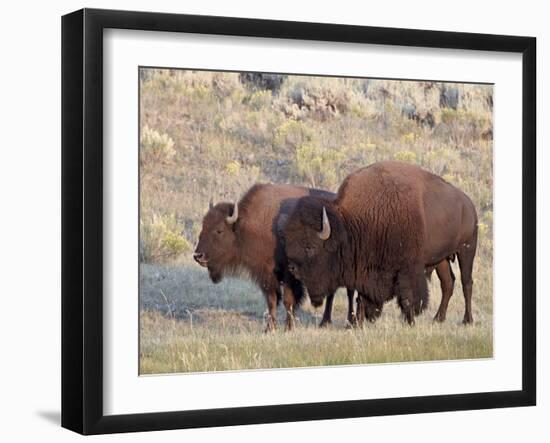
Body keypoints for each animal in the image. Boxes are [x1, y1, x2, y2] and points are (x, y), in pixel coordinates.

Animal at [194, 182, 358, 332]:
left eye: (219, 230)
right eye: (203, 226)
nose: (198, 256)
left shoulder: (289, 273)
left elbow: (288, 300)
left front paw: (288, 328)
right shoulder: (266, 274)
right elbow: (272, 300)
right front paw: (269, 328)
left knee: (348, 292)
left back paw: (345, 323)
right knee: (332, 293)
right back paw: (326, 323)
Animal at [280, 162, 478, 326]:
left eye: (310, 246)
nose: (292, 268)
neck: (354, 224)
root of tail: (468, 203)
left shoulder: (408, 269)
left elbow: (408, 297)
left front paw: (410, 322)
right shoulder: (364, 270)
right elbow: (362, 297)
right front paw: (358, 324)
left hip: (466, 249)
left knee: (466, 282)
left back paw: (467, 320)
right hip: (441, 259)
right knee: (448, 283)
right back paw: (438, 318)